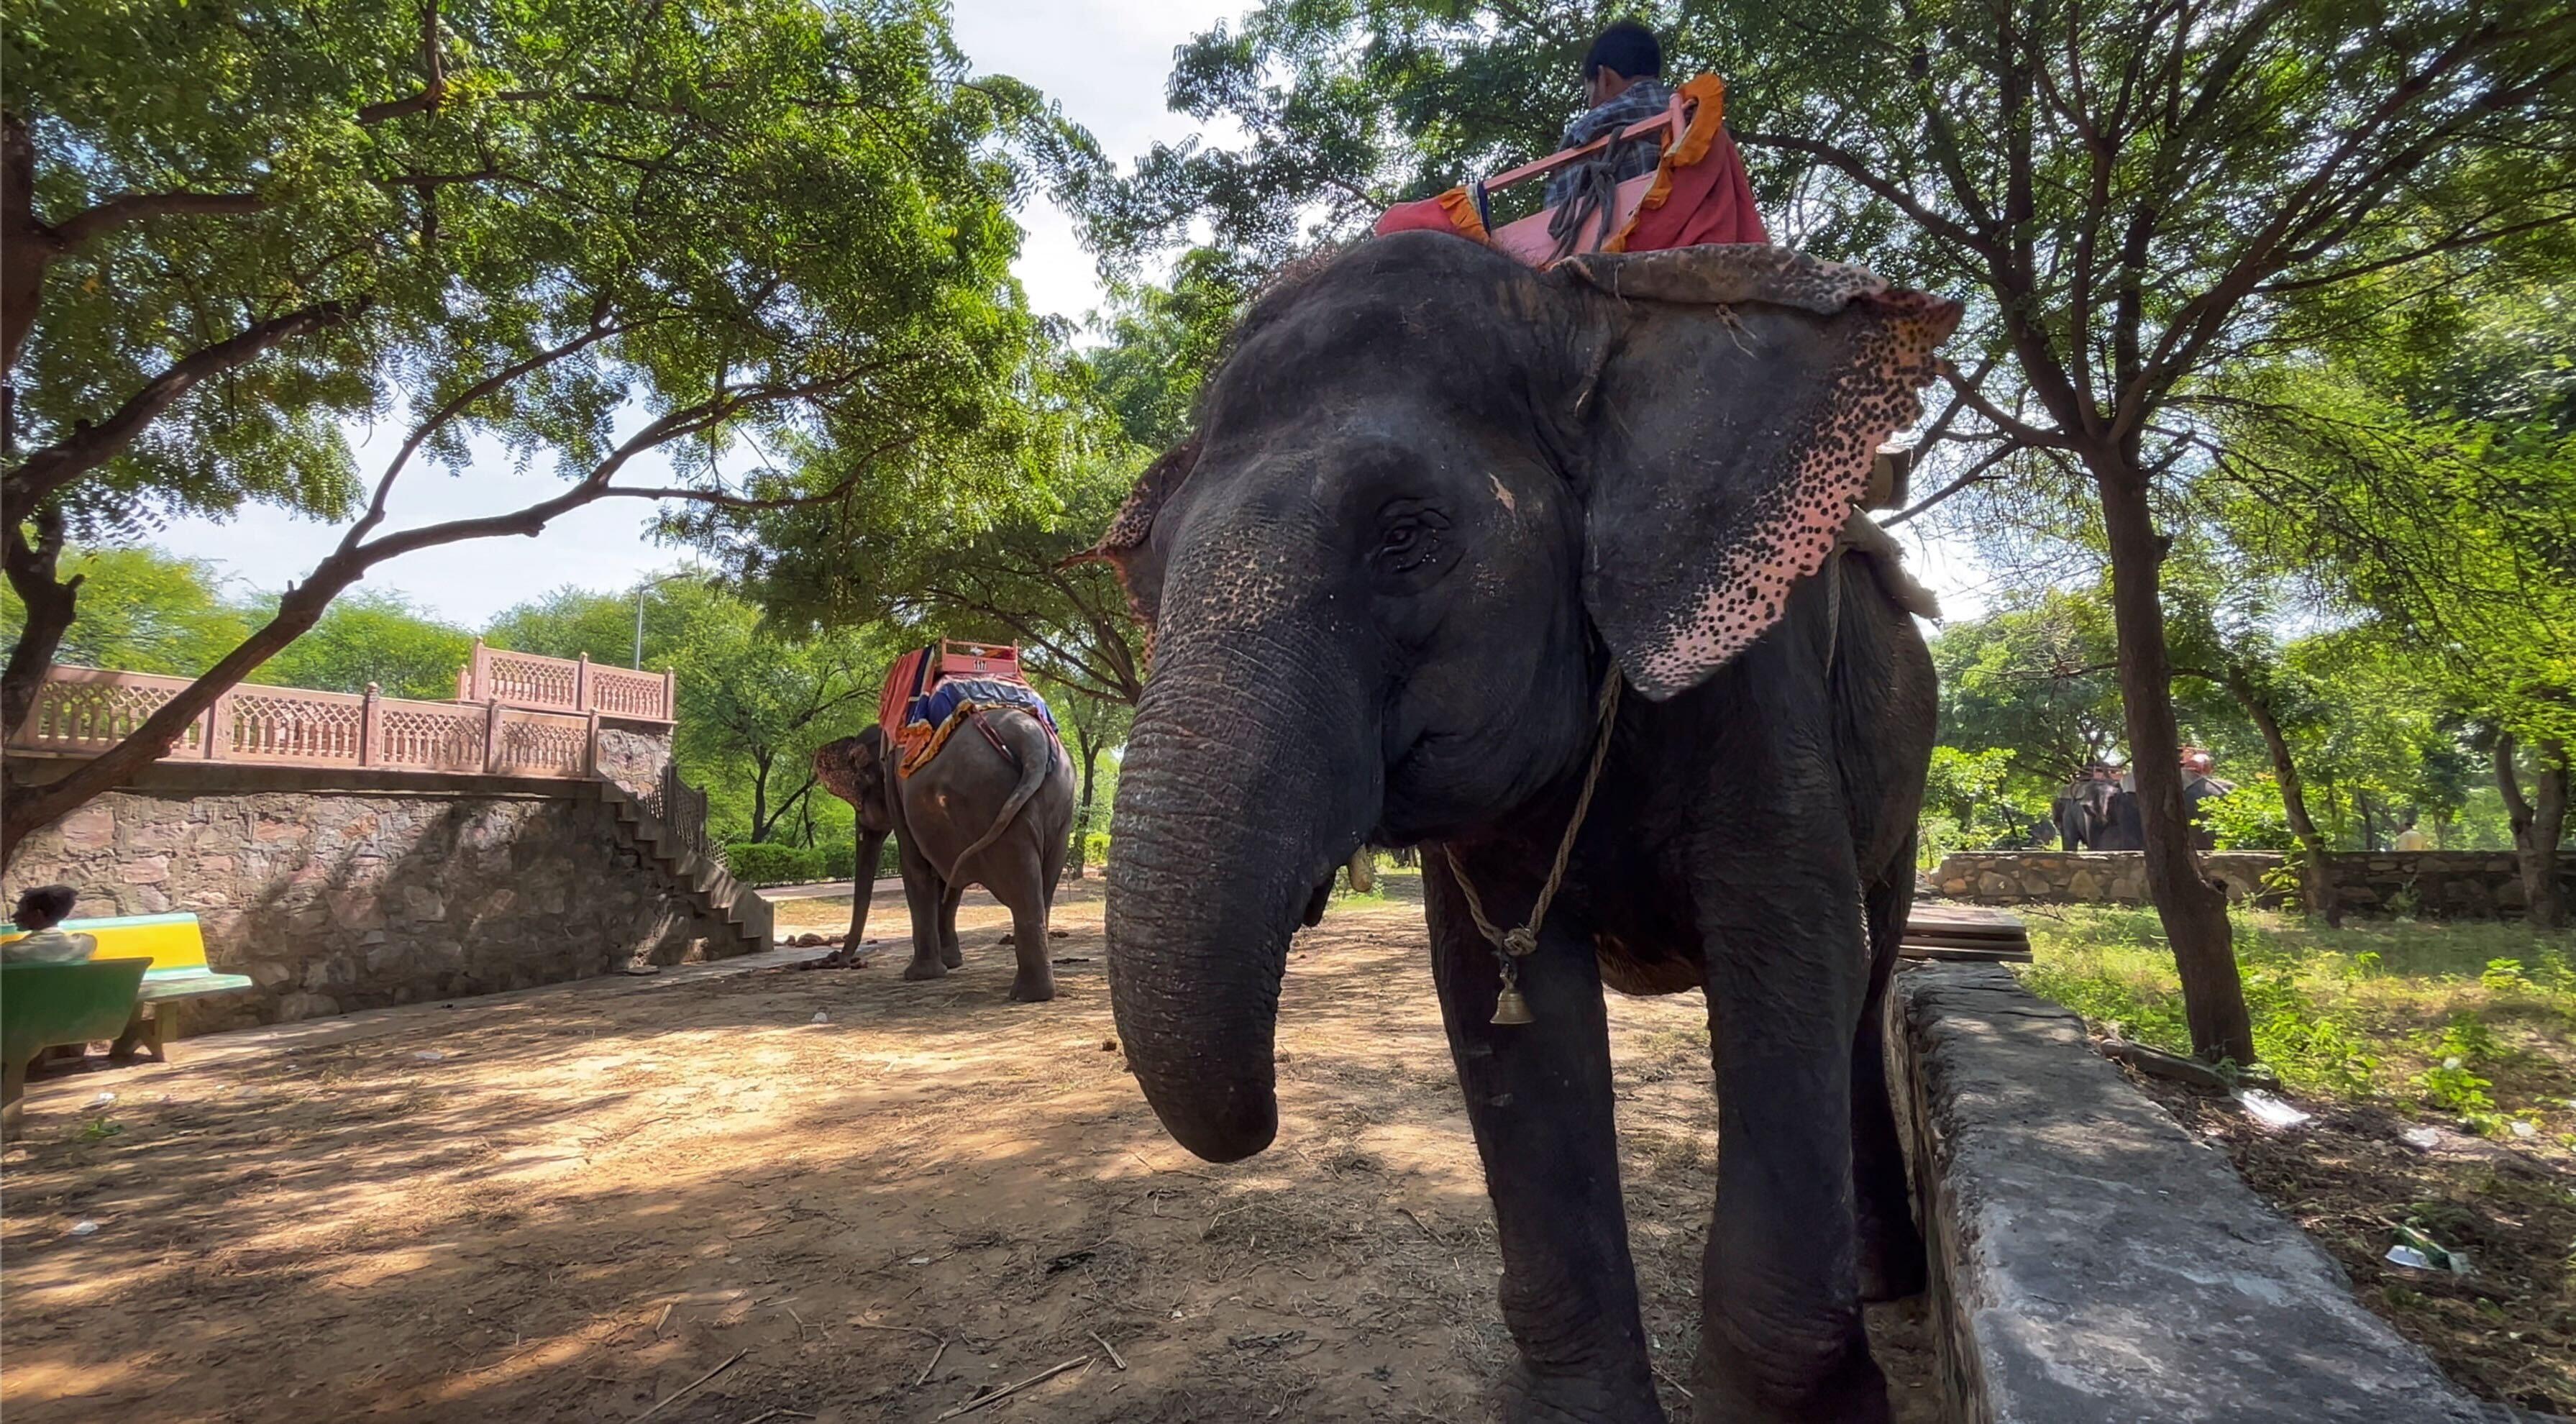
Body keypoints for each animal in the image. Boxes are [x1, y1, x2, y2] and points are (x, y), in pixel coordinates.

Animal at [811, 709, 1076, 1001]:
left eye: (860, 791)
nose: (839, 961)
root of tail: (1032, 744)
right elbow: (949, 880)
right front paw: (951, 963)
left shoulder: (898, 793)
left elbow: (916, 867)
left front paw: (920, 975)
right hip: (1059, 809)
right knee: (1044, 885)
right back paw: (1034, 991)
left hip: (987, 800)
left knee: (1021, 885)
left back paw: (1027, 994)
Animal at [1084, 234, 1960, 1422]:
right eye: (1157, 563)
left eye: (1405, 536)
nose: (1264, 1121)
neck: (1580, 315)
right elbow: (1505, 1007)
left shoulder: (1760, 674)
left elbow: (1789, 960)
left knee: (1867, 976)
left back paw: (1878, 1275)